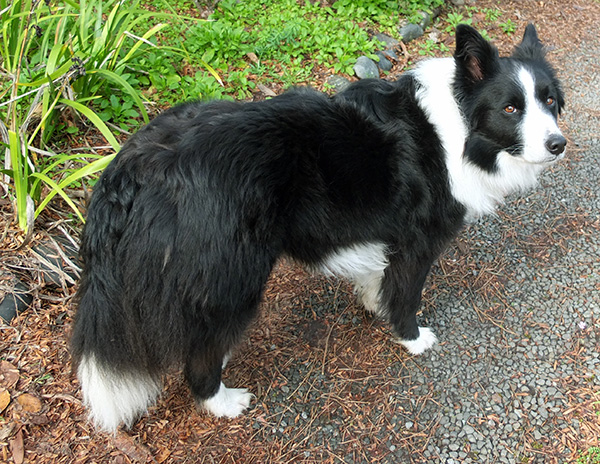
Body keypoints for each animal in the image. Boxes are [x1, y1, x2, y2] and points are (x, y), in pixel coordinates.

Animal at [71, 25, 568, 432]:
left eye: (548, 101)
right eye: (510, 108)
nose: (558, 144)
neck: (456, 130)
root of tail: (132, 165)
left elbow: (377, 279)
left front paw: (373, 304)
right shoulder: (417, 242)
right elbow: (406, 295)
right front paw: (411, 338)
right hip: (234, 277)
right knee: (199, 352)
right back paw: (222, 400)